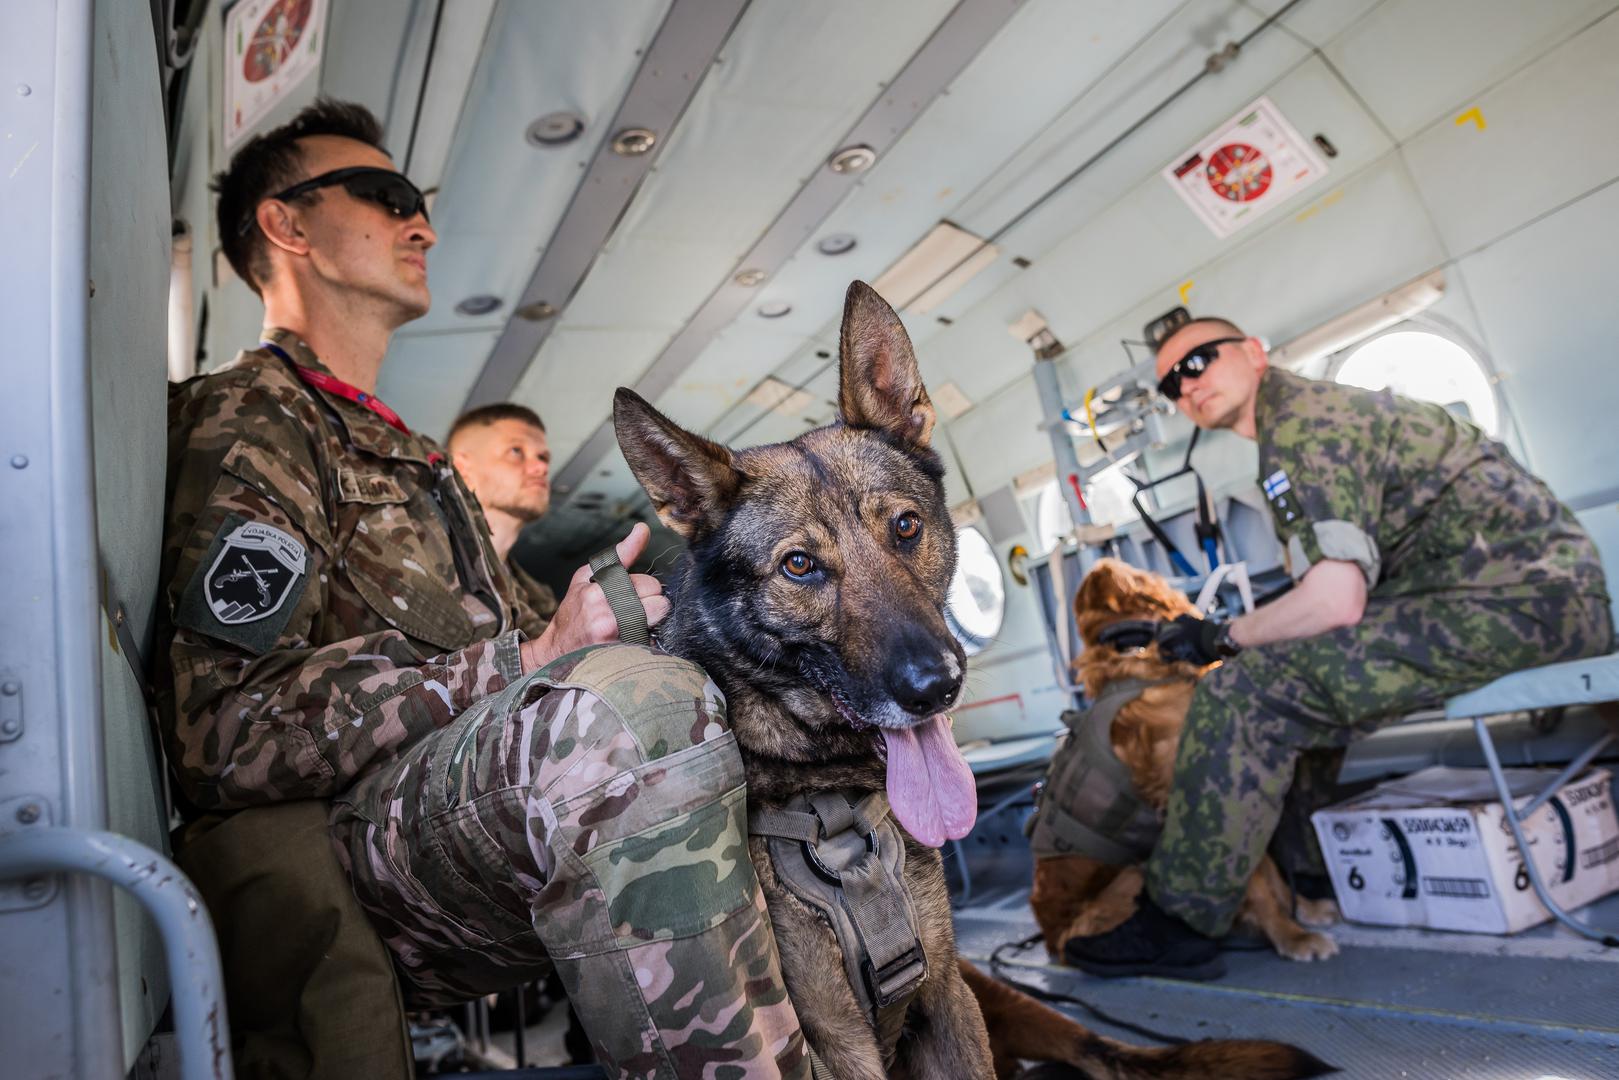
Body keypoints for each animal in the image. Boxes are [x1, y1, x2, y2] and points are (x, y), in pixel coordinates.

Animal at [1023, 557, 1340, 965]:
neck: (1136, 650)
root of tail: (1049, 939)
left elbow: (1268, 869)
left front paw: (1305, 910)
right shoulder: (1212, 793)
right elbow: (1254, 879)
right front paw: (1292, 936)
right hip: (1132, 876)